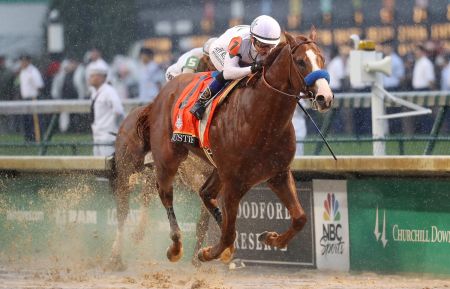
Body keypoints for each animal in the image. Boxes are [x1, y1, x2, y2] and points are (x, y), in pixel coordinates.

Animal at [135, 30, 332, 262]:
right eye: (301, 61)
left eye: (322, 59)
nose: (325, 97)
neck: (263, 121)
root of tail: (163, 92)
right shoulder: (234, 182)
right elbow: (228, 234)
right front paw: (207, 253)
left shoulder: (278, 174)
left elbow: (300, 218)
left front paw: (271, 239)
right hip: (169, 157)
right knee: (165, 193)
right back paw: (175, 247)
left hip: (218, 168)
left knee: (205, 193)